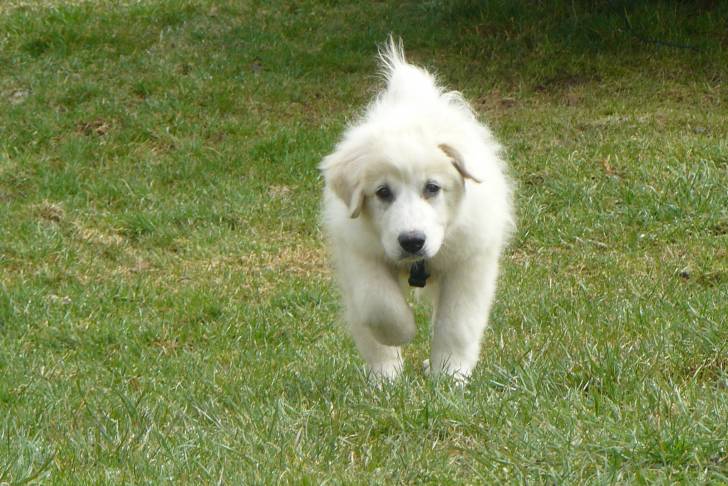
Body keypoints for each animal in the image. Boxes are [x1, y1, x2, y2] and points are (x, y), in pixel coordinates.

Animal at [322, 39, 516, 382]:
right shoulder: (360, 251)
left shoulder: (470, 260)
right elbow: (377, 305)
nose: (412, 241)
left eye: (432, 188)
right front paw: (401, 336)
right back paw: (383, 379)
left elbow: (457, 324)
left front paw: (450, 375)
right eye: (383, 192)